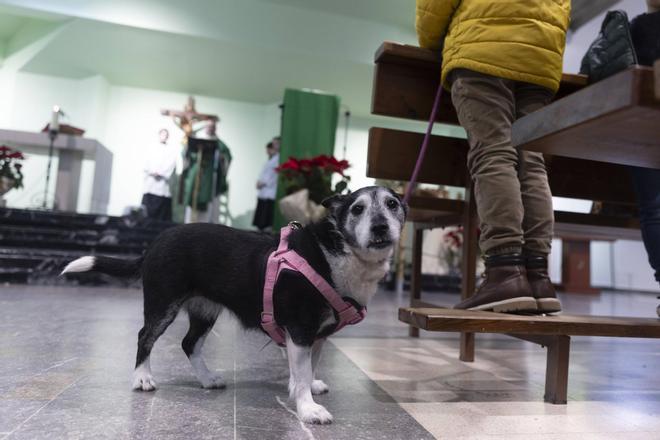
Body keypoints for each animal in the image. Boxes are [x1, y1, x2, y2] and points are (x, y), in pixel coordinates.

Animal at [64, 185, 410, 422]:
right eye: (357, 209)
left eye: (392, 205)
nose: (380, 227)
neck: (337, 252)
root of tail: (153, 245)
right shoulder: (300, 329)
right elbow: (300, 374)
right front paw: (308, 409)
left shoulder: (317, 336)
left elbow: (307, 369)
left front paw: (308, 387)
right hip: (163, 303)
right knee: (145, 336)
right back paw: (142, 378)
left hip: (204, 310)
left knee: (189, 344)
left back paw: (207, 379)